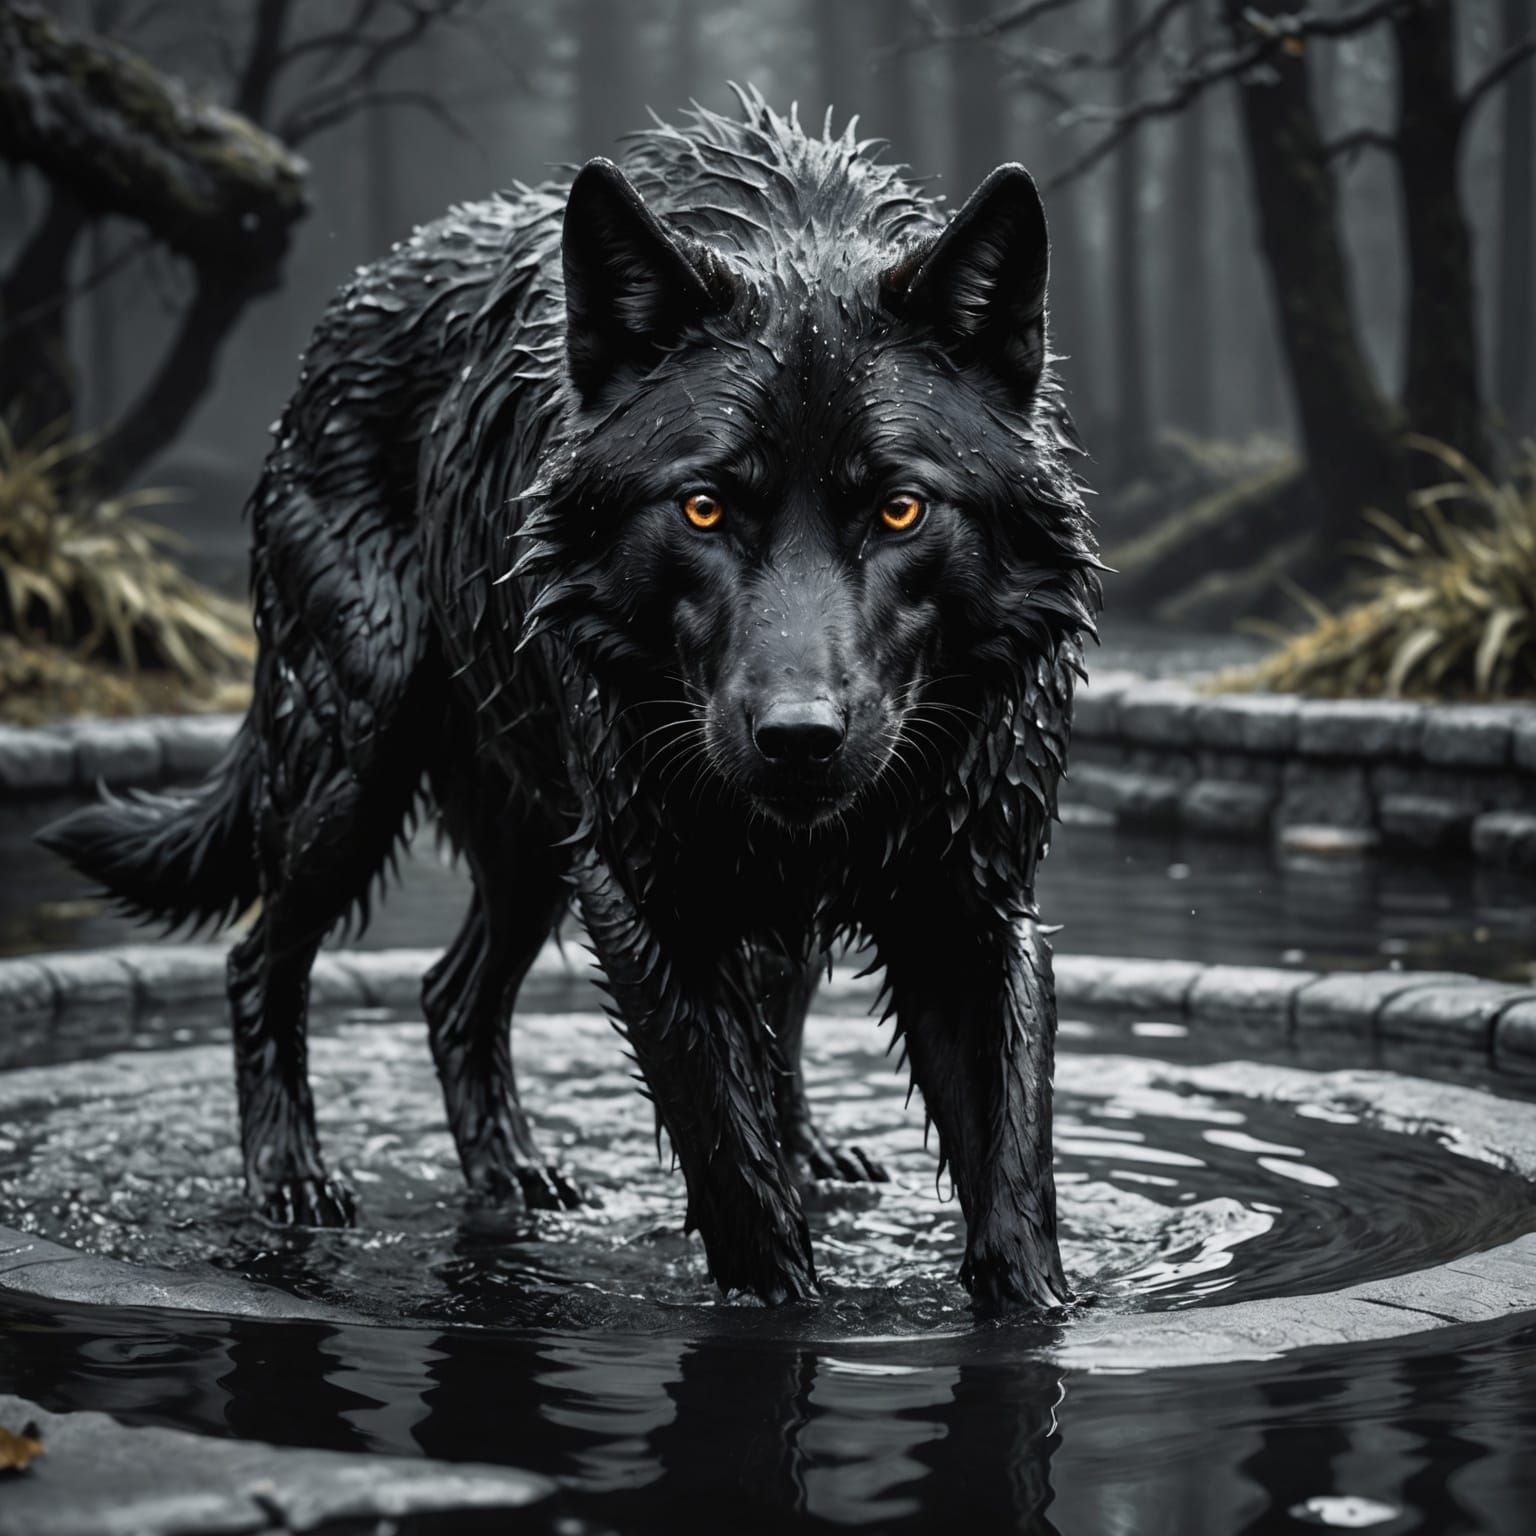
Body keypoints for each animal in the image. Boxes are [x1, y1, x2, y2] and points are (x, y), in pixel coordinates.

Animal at [41, 91, 1101, 1309]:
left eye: (899, 510)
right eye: (701, 507)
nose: (798, 741)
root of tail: (335, 325)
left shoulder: (968, 908)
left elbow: (1010, 1189)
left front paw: (1041, 1313)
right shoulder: (647, 894)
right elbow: (734, 1169)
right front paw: (780, 1306)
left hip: (539, 844)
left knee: (458, 995)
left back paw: (539, 1171)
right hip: (355, 772)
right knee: (262, 958)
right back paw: (295, 1180)